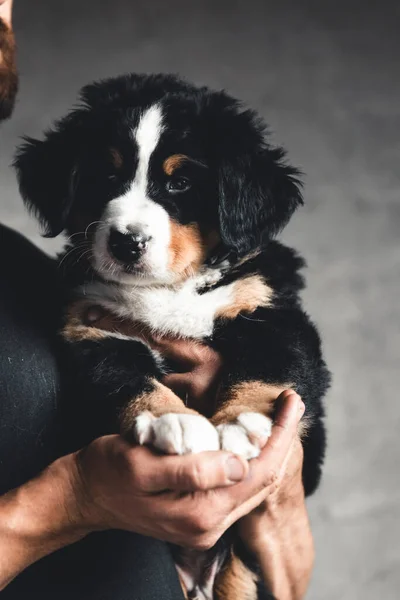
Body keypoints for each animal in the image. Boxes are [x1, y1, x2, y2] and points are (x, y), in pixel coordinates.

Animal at [14, 74, 330, 600]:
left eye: (180, 182)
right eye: (105, 176)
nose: (127, 241)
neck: (168, 289)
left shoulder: (269, 308)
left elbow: (269, 367)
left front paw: (240, 422)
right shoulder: (90, 327)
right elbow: (124, 377)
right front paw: (174, 421)